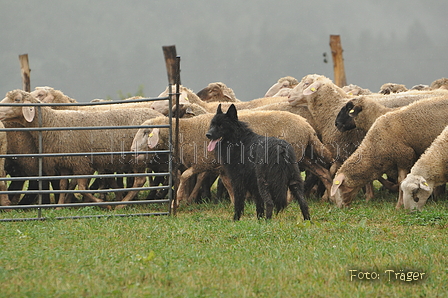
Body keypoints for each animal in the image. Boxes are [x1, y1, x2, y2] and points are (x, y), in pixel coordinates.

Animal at [133, 110, 336, 206]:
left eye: (145, 132)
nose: (132, 151)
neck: (185, 131)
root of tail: (308, 127)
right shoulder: (219, 166)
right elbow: (228, 184)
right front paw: (233, 202)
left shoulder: (203, 161)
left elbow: (184, 176)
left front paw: (178, 199)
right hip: (304, 155)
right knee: (323, 172)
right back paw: (328, 197)